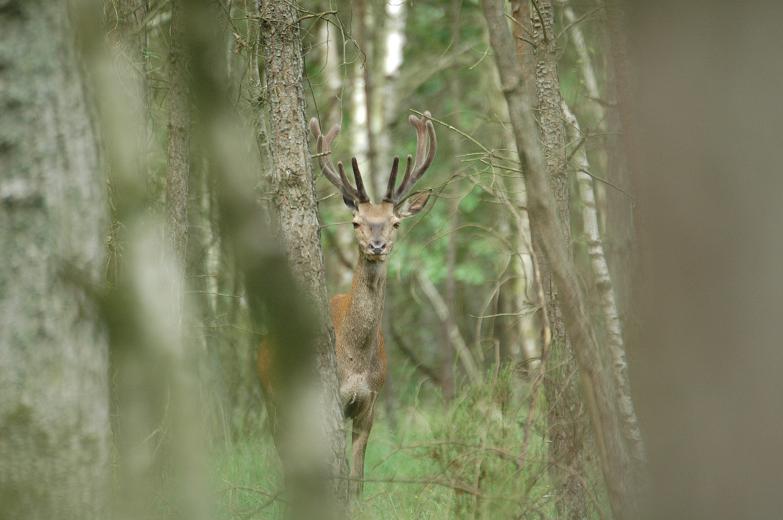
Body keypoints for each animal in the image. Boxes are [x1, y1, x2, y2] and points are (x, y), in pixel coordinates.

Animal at [257, 111, 437, 497]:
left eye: (395, 222)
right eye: (356, 222)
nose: (377, 245)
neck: (354, 361)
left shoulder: (370, 401)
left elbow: (357, 479)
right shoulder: (330, 402)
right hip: (272, 396)